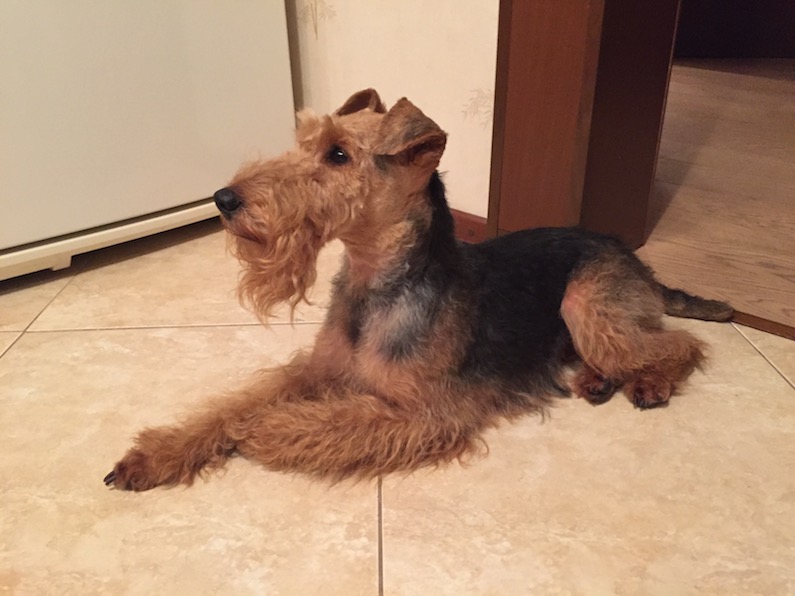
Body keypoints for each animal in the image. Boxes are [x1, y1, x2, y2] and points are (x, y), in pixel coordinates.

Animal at [104, 89, 733, 491]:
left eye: (338, 154)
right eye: (304, 143)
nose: (225, 199)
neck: (375, 286)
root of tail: (634, 258)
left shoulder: (426, 412)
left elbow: (315, 420)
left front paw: (259, 430)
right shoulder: (316, 369)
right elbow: (233, 403)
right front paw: (156, 454)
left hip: (587, 305)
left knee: (681, 345)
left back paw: (649, 382)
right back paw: (598, 380)